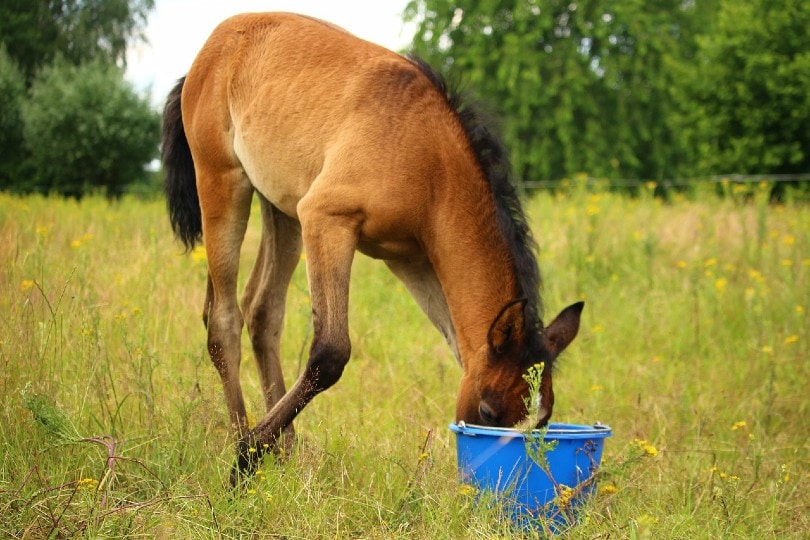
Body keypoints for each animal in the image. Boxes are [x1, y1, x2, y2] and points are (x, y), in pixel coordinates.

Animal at [161, 12, 583, 484]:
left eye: (543, 422)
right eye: (489, 410)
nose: (505, 472)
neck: (429, 163)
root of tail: (209, 50)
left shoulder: (413, 260)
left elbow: (460, 348)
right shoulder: (327, 219)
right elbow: (330, 353)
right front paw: (245, 458)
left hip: (281, 208)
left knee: (262, 311)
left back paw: (285, 456)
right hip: (223, 180)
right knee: (223, 320)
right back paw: (243, 446)